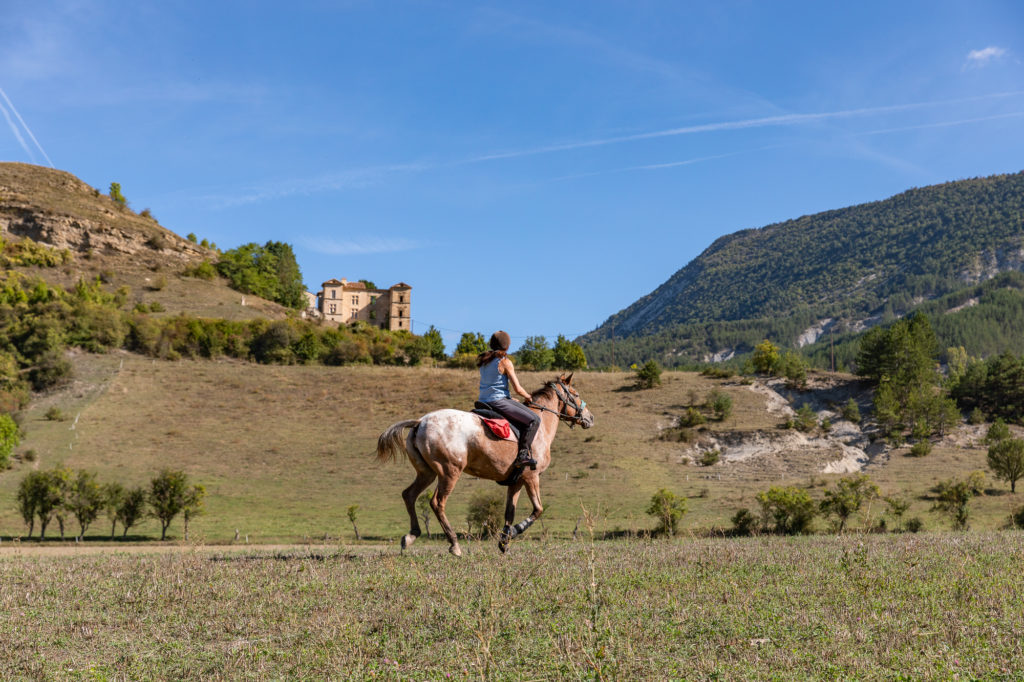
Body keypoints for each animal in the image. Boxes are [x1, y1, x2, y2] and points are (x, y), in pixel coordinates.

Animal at [376, 374, 593, 557]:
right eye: (576, 394)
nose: (590, 418)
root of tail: (420, 422)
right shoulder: (531, 477)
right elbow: (538, 510)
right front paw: (514, 532)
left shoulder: (516, 480)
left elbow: (509, 512)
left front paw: (504, 542)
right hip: (449, 472)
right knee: (437, 503)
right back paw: (454, 545)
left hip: (426, 473)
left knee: (409, 495)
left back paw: (411, 536)